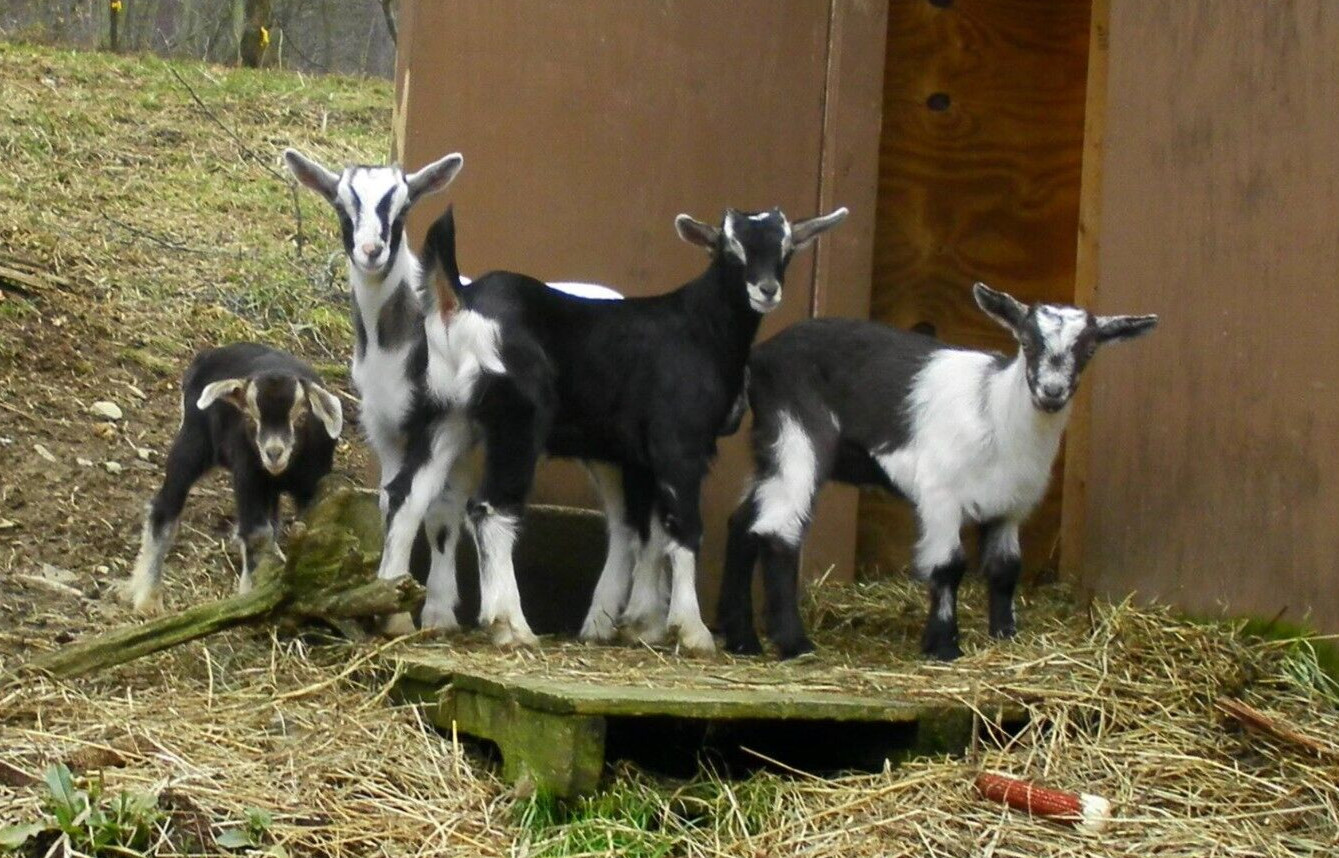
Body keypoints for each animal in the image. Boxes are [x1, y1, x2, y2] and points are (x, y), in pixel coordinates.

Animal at [122, 343, 343, 613]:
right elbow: (257, 533)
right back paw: (149, 598)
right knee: (164, 507)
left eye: (301, 417)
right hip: (193, 443)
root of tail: (207, 355)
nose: (273, 453)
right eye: (249, 418)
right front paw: (252, 595)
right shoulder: (248, 475)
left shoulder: (312, 482)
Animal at [383, 204, 847, 653]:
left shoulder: (638, 457)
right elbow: (685, 527)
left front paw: (642, 624)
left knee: (407, 495)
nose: (767, 289)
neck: (701, 329)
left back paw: (392, 611)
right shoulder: (679, 441)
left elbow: (649, 531)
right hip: (517, 420)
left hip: (446, 413)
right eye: (730, 248)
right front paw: (691, 631)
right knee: (490, 507)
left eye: (786, 248)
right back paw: (511, 626)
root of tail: (459, 302)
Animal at [717, 282, 1158, 660]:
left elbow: (1005, 569)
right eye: (1027, 342)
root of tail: (760, 358)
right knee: (778, 530)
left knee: (743, 523)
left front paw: (1005, 636)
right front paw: (944, 646)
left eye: (1089, 350)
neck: (994, 409)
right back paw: (795, 644)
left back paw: (741, 639)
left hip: (772, 449)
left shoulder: (1010, 506)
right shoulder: (940, 495)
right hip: (798, 433)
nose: (1051, 392)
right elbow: (948, 565)